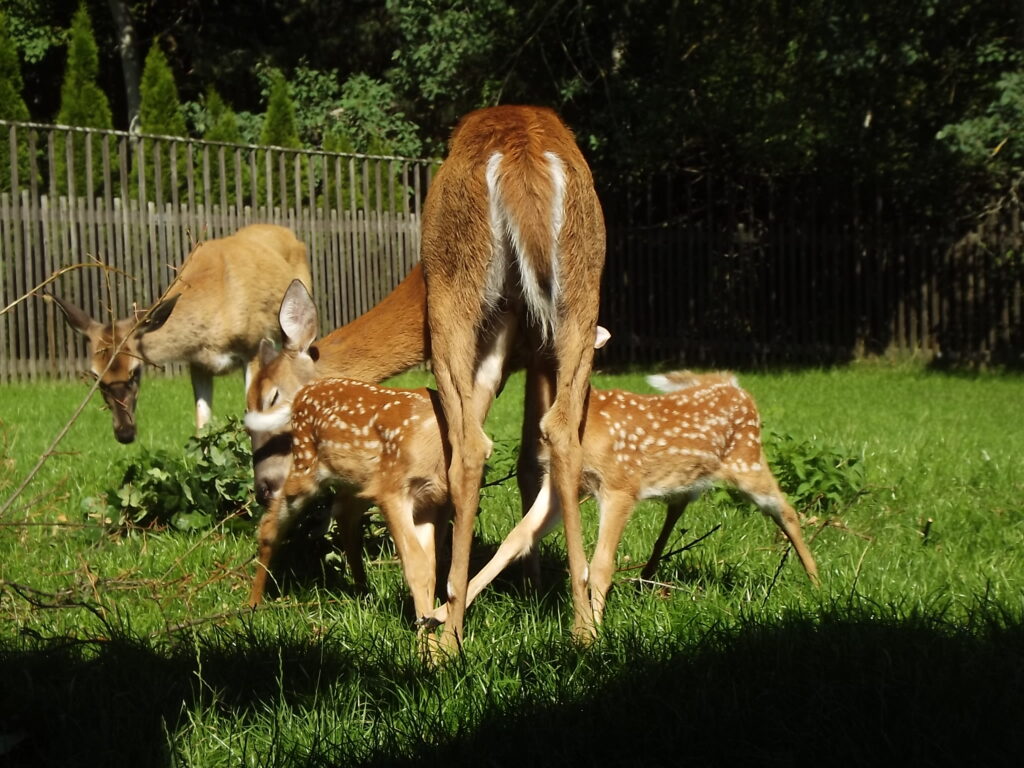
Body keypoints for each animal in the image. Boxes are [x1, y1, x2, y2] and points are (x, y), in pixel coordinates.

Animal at [49, 225, 309, 442]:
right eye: (96, 377)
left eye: (135, 372)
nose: (125, 433)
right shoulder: (198, 363)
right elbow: (202, 425)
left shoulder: (252, 346)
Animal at [419, 107, 602, 651]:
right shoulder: (531, 344)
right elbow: (528, 460)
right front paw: (534, 580)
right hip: (579, 295)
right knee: (562, 432)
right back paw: (583, 626)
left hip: (453, 291)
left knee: (469, 445)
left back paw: (448, 633)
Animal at [428, 372, 819, 630]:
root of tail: (737, 389)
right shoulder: (562, 485)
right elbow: (516, 538)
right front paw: (441, 613)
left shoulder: (620, 484)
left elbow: (601, 563)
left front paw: (593, 633)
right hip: (692, 477)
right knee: (678, 508)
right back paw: (646, 578)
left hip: (747, 461)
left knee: (787, 510)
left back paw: (815, 582)